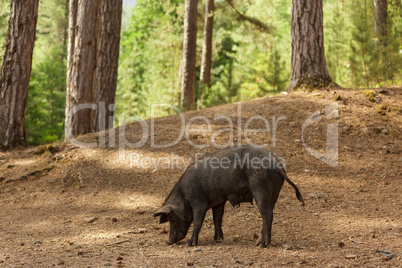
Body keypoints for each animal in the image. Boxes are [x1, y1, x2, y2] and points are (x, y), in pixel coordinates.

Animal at [154, 146, 304, 248]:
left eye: (171, 217)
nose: (168, 241)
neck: (183, 195)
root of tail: (277, 166)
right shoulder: (218, 201)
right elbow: (217, 218)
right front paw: (217, 239)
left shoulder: (199, 203)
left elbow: (197, 222)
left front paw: (190, 244)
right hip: (275, 192)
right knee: (270, 212)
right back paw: (258, 242)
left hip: (260, 188)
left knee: (268, 215)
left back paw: (262, 244)